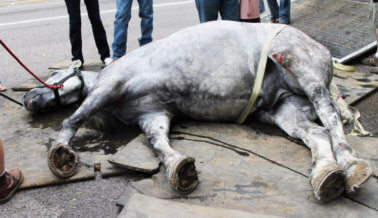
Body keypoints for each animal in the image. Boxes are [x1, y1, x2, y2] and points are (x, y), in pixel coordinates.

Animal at [22, 21, 372, 202]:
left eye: (55, 75)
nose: (28, 99)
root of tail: (323, 51)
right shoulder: (153, 115)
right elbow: (159, 143)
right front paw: (179, 168)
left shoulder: (113, 85)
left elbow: (72, 119)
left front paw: (60, 153)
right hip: (285, 110)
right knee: (318, 134)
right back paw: (326, 175)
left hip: (303, 70)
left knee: (330, 118)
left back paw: (351, 165)